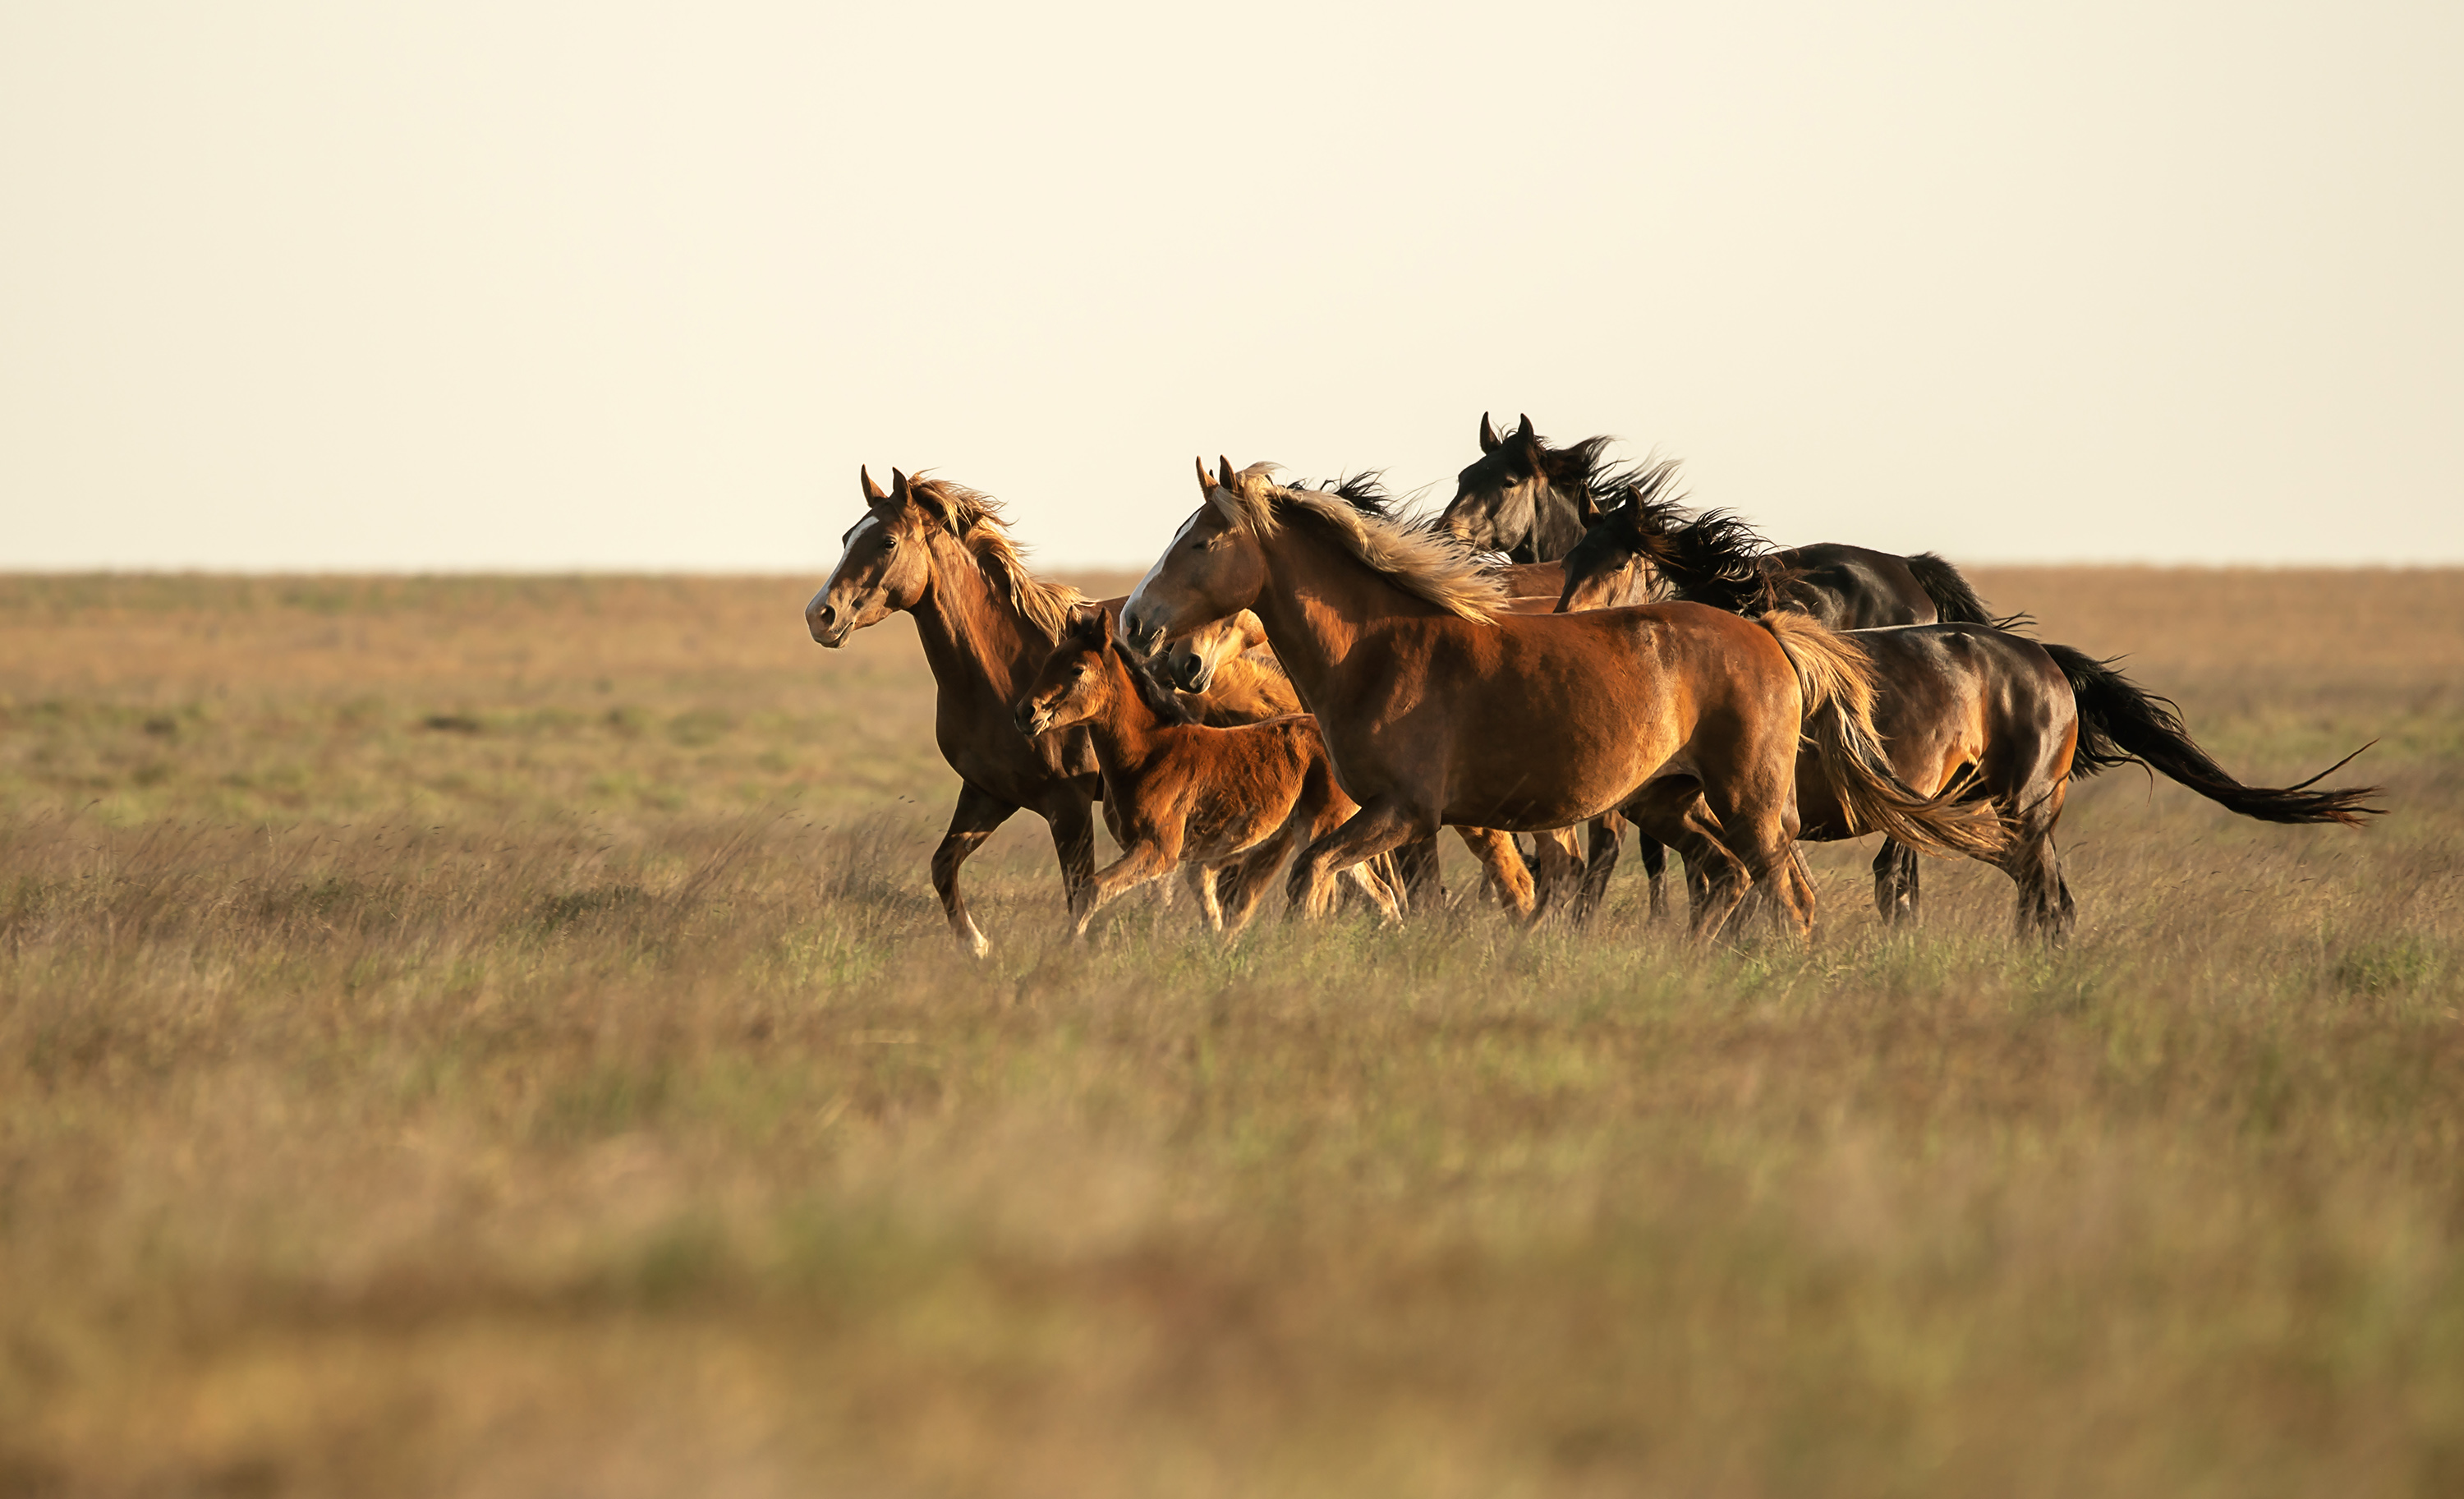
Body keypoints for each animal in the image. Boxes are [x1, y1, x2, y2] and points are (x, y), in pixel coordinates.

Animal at [1020, 599, 1409, 931]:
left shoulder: (1160, 850)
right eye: (1048, 660)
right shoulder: (1174, 859)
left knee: (1317, 895)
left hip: (1315, 829)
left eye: (1077, 669)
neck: (1150, 753)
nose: (1025, 712)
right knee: (1379, 894)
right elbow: (1190, 913)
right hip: (1328, 833)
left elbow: (1093, 889)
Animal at [1119, 463, 2001, 941]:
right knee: (1724, 877)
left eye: (1201, 541)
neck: (1382, 645)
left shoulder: (1405, 810)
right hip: (1671, 802)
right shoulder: (1390, 815)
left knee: (1791, 896)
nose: (1137, 623)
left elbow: (1313, 879)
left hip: (1749, 800)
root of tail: (1768, 633)